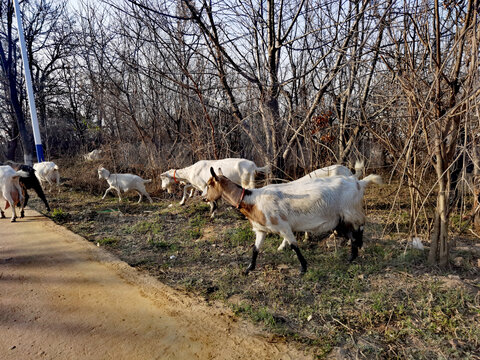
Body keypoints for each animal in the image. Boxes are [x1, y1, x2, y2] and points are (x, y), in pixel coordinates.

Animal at [204, 167, 380, 274]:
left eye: (209, 184)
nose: (204, 198)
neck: (252, 200)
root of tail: (359, 182)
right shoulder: (261, 230)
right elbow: (255, 249)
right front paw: (249, 268)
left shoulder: (283, 226)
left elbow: (295, 246)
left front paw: (303, 268)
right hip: (341, 218)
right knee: (352, 233)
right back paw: (353, 255)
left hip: (350, 212)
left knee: (359, 228)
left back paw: (356, 251)